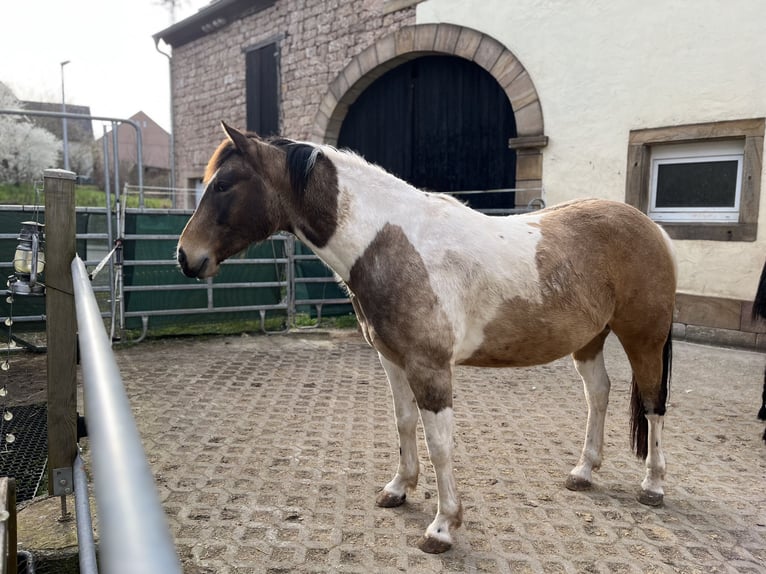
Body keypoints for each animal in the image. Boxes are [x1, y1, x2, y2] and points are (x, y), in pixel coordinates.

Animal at [177, 122, 677, 554]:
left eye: (225, 184)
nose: (186, 256)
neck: (391, 243)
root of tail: (653, 228)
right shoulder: (392, 359)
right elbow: (403, 423)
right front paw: (399, 488)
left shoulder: (430, 366)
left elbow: (440, 444)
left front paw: (442, 527)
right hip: (589, 339)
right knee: (599, 394)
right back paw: (584, 471)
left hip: (644, 338)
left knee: (654, 404)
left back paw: (653, 484)